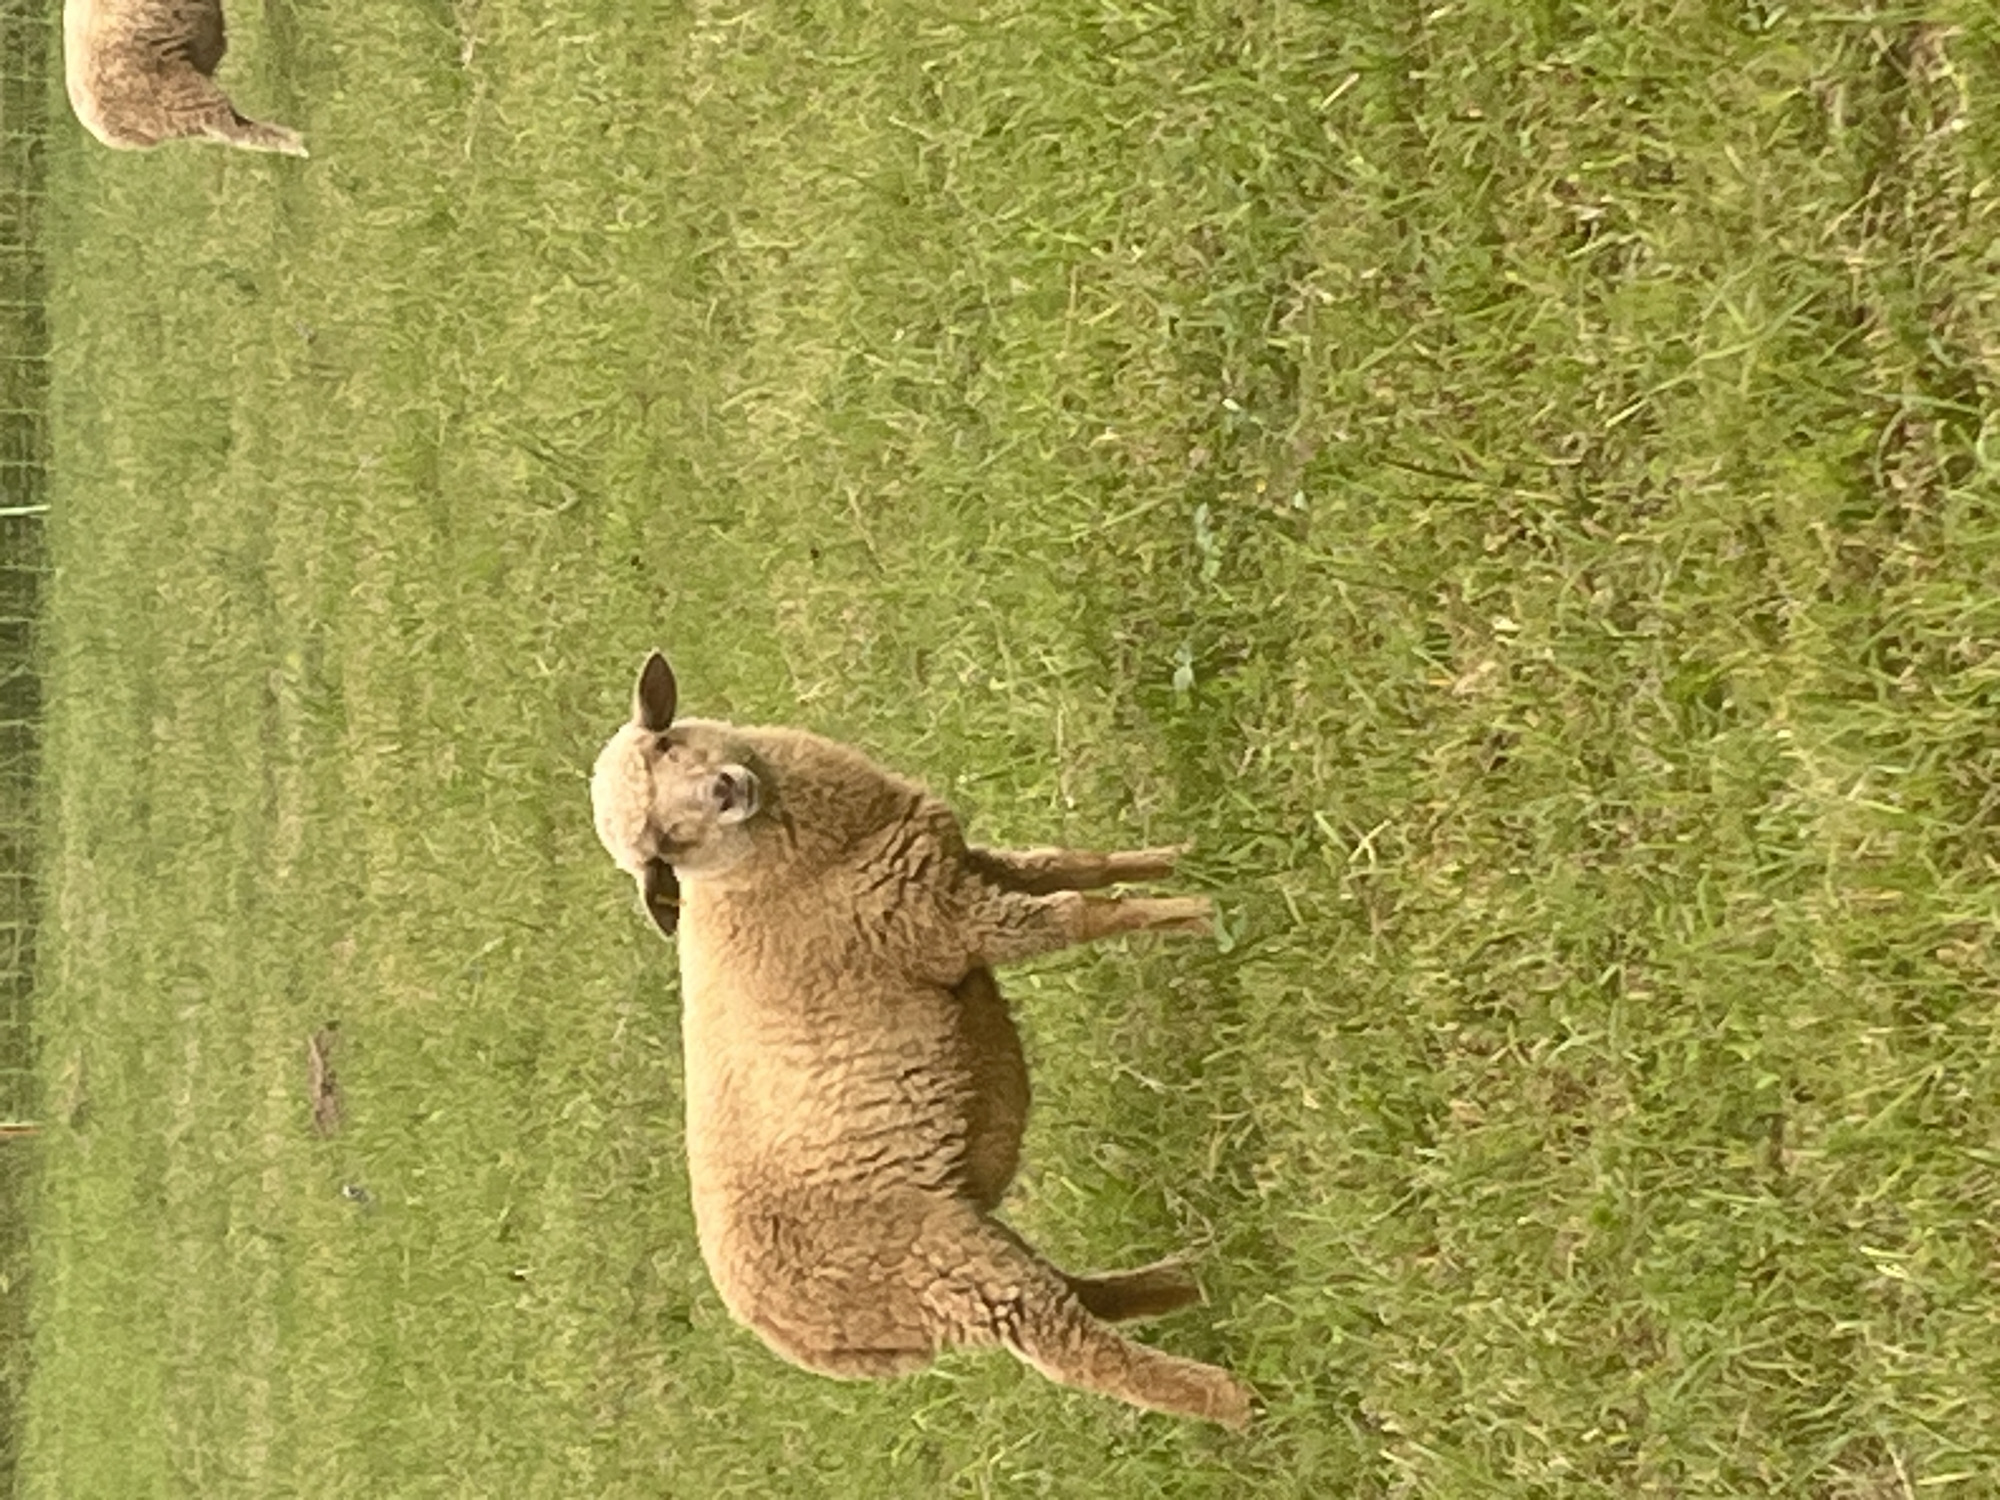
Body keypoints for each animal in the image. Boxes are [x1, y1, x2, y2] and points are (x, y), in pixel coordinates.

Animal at [589, 652, 1254, 1427]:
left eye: (665, 745)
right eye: (663, 846)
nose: (724, 791)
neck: (777, 874)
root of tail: (794, 1339)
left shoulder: (959, 868)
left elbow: (1077, 864)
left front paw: (1191, 855)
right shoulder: (949, 924)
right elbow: (1080, 915)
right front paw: (1201, 911)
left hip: (951, 1243)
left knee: (1080, 1295)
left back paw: (1197, 1277)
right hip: (944, 1268)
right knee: (1070, 1345)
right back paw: (1238, 1400)